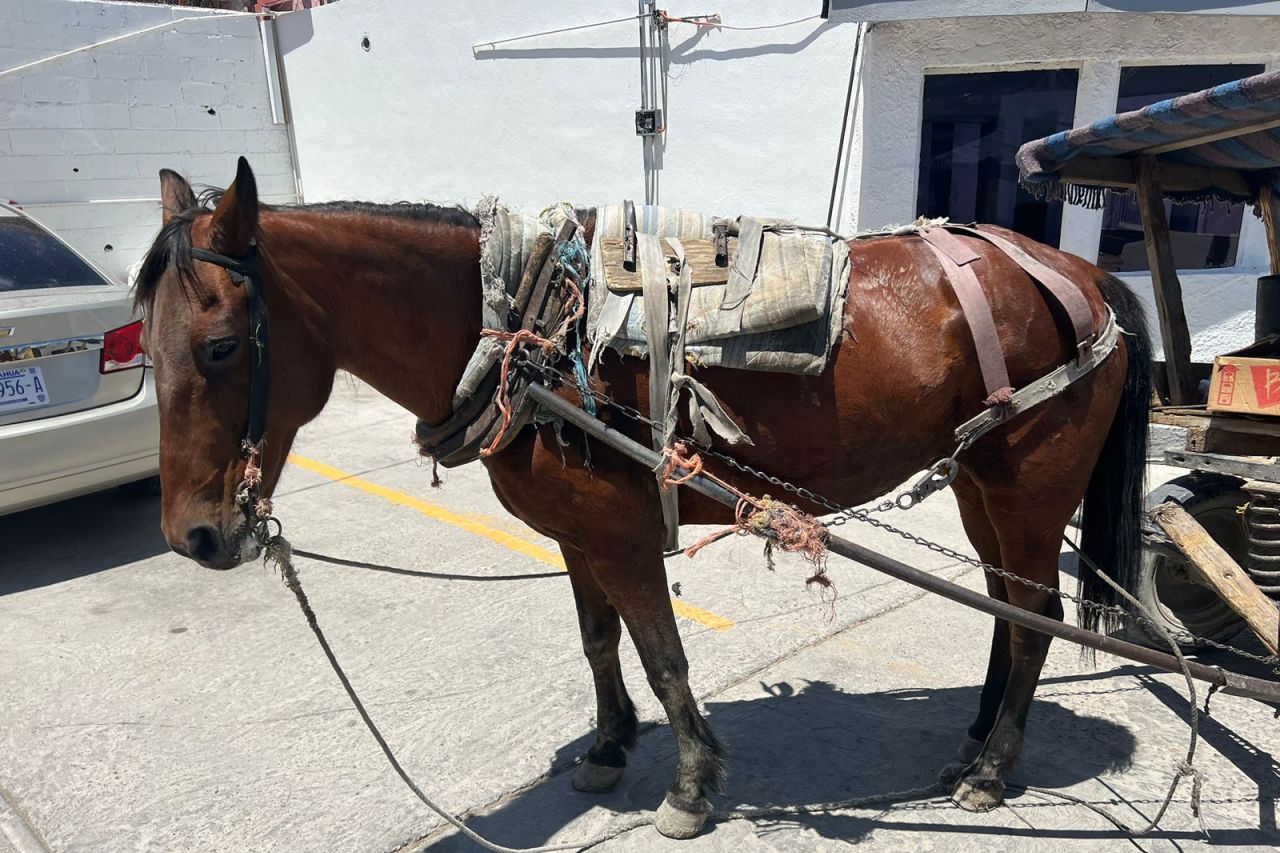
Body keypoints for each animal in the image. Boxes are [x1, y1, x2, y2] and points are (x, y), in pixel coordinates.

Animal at [137, 159, 1152, 835]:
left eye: (221, 347)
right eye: (142, 344)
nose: (195, 535)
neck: (533, 332)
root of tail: (1084, 275)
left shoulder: (621, 535)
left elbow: (663, 655)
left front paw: (692, 783)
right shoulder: (577, 533)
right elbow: (598, 642)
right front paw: (607, 746)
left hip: (1029, 491)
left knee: (1034, 622)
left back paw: (992, 768)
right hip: (981, 483)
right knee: (1008, 608)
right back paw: (975, 734)